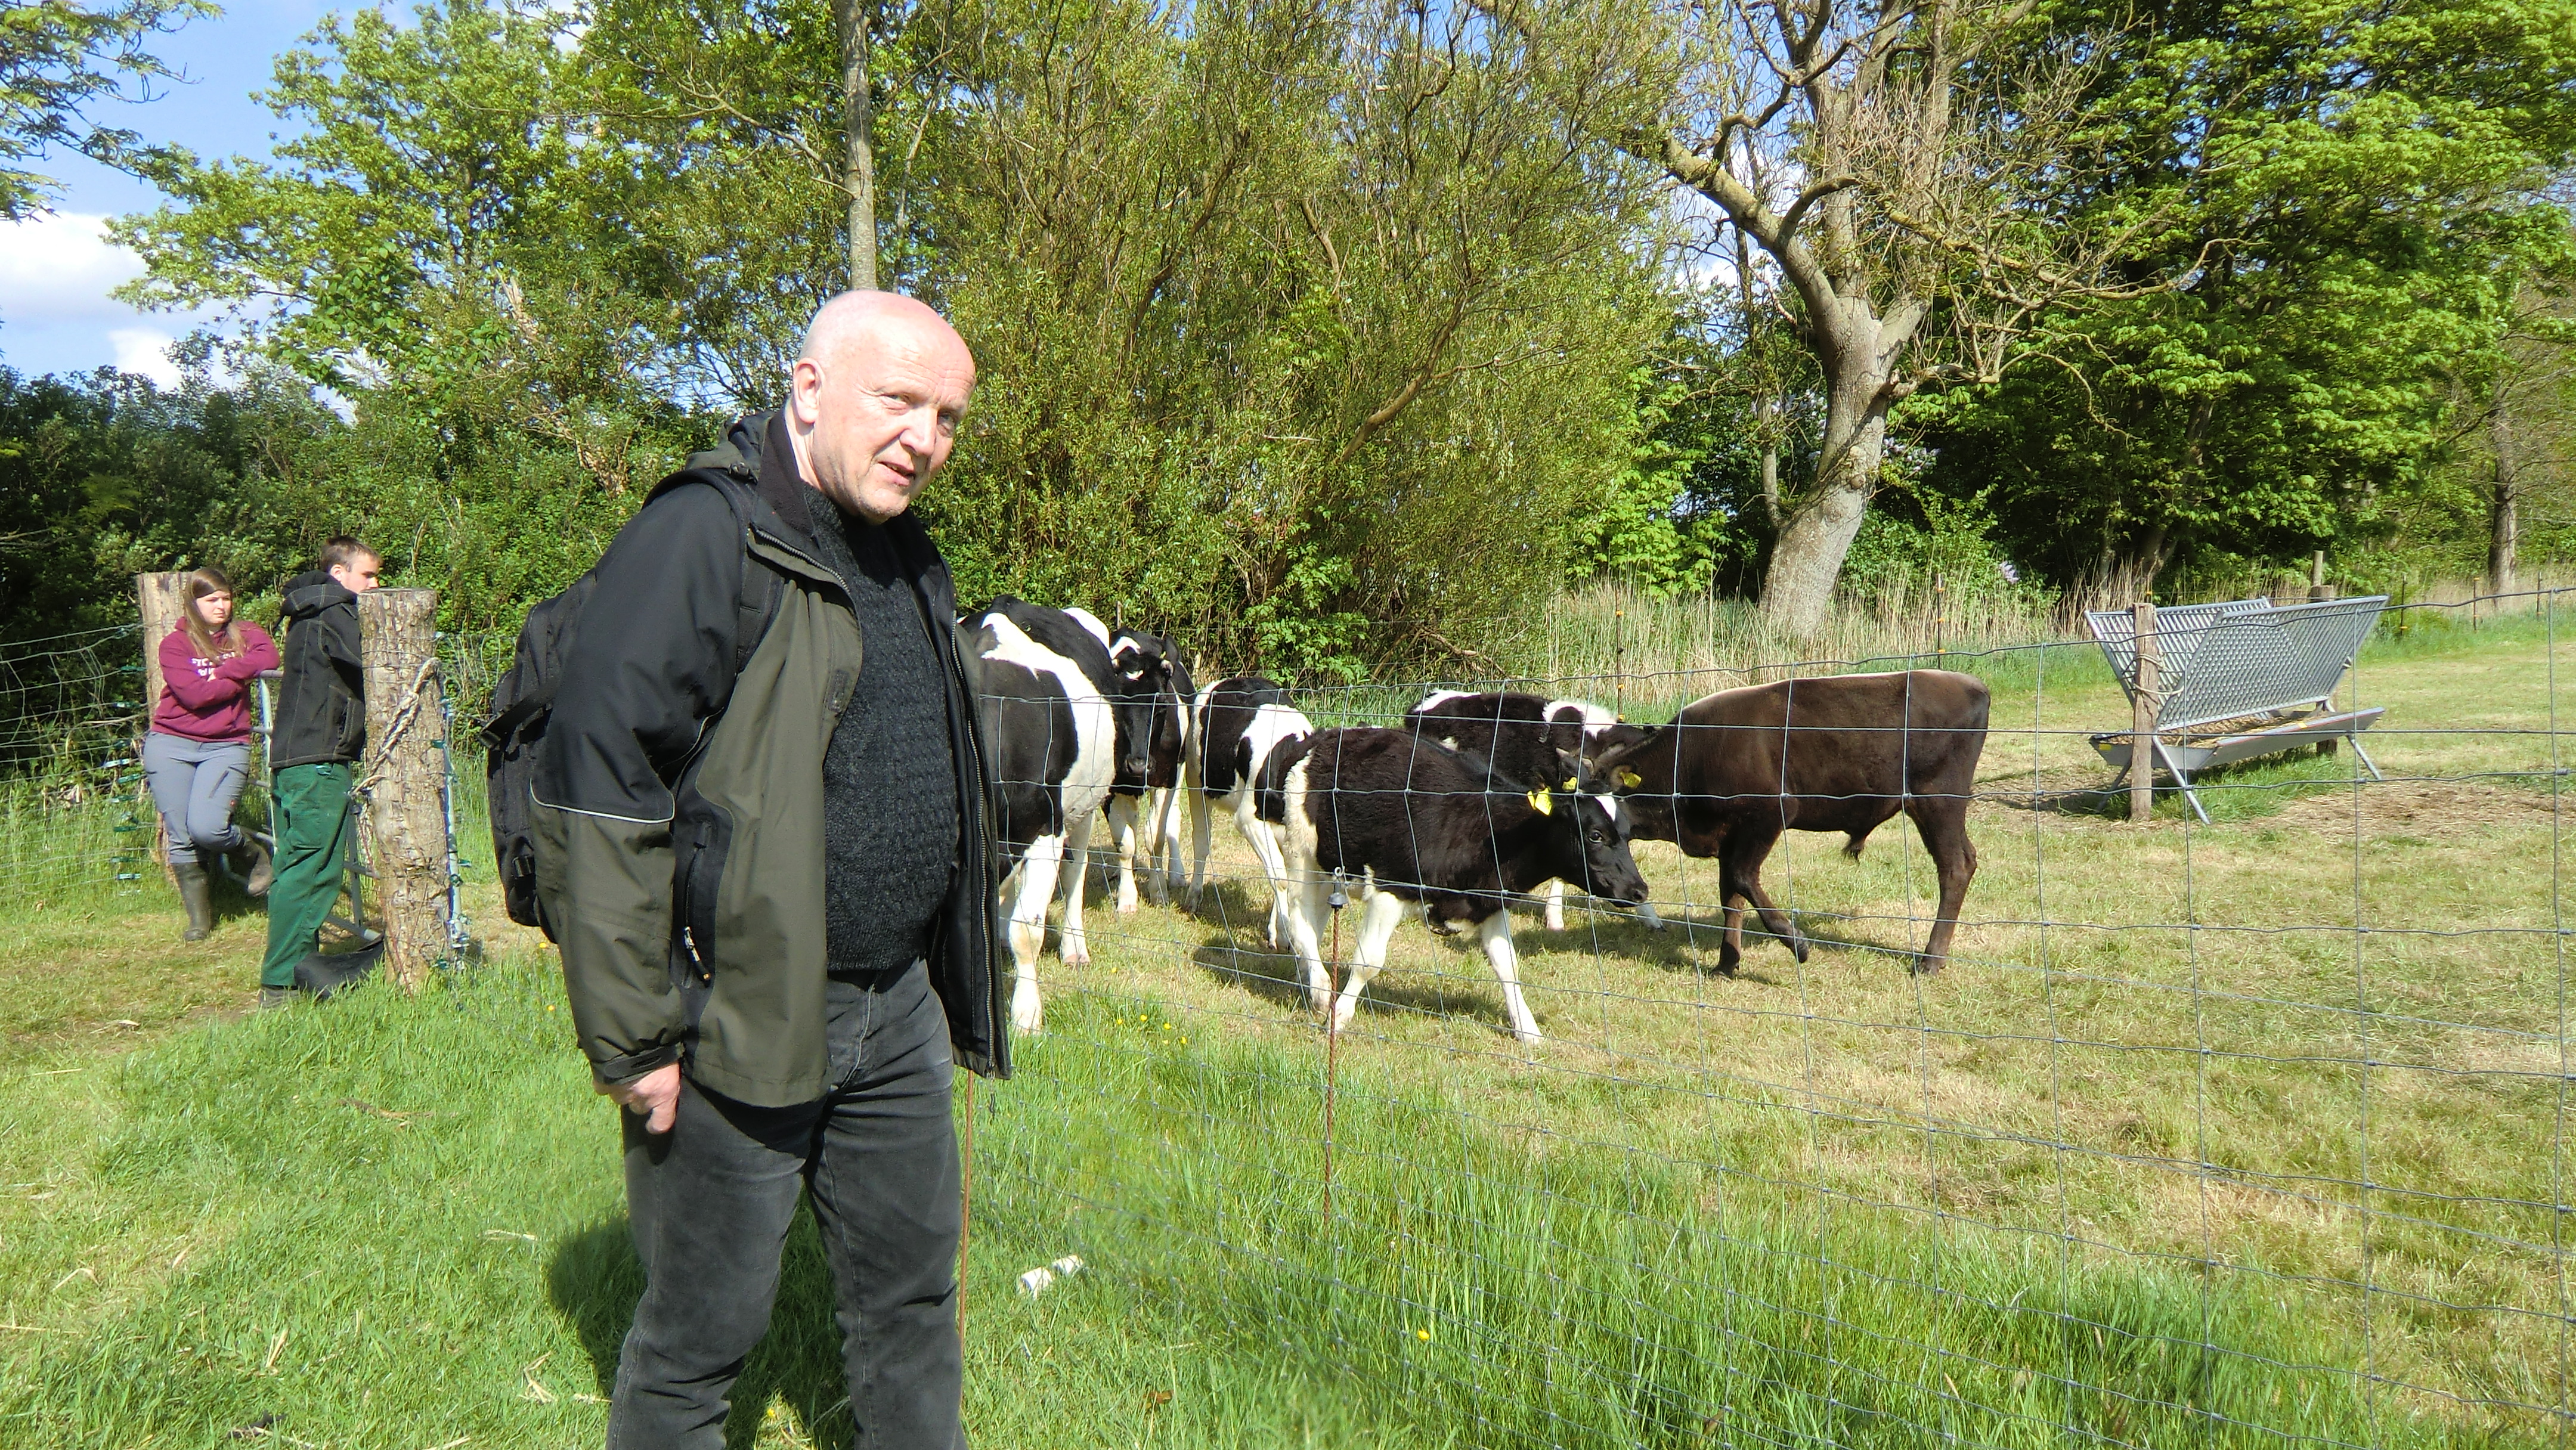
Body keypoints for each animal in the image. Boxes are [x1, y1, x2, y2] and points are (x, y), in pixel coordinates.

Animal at [958, 597, 1148, 1030]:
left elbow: (1028, 931)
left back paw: (1074, 949)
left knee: (1076, 872)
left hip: (1084, 807)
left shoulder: (1047, 829)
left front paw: (1026, 1015)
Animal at [1179, 680, 1308, 947]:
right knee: (1201, 842)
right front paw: (1285, 937)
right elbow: (1280, 878)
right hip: (1196, 779)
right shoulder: (1249, 820)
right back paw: (1193, 898)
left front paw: (1275, 933)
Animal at [1252, 731, 1648, 1040]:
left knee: (1313, 925)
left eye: (1629, 832)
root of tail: (1320, 739)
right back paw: (1321, 992)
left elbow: (1508, 965)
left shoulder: (1490, 901)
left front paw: (1528, 1030)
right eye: (1595, 834)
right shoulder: (1390, 887)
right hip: (1302, 853)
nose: (1639, 891)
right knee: (1299, 921)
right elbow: (1368, 962)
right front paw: (1339, 1018)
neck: (1487, 831)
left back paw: (1312, 983)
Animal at [1587, 674, 1989, 973]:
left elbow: (1742, 880)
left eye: (1600, 825)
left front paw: (1796, 944)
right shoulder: (1730, 837)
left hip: (1938, 803)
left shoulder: (1766, 818)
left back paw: (1930, 960)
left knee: (1955, 866)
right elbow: (1731, 897)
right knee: (1965, 860)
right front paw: (1726, 964)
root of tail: (1970, 685)